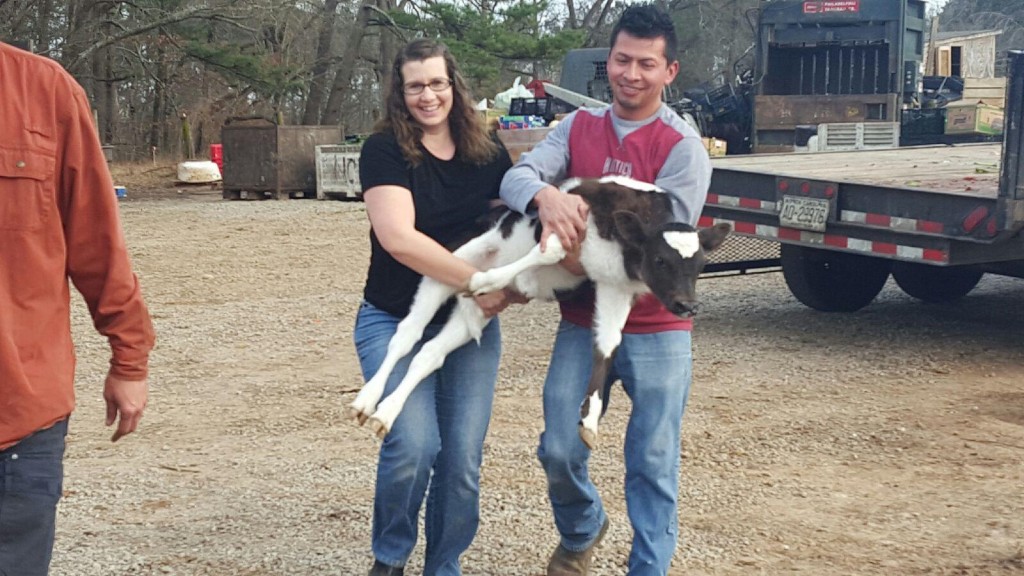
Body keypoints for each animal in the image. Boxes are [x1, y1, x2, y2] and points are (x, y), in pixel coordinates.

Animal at [350, 177, 729, 446]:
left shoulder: (615, 287)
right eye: (660, 259)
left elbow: (607, 345)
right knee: (405, 337)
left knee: (428, 355)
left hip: (471, 316)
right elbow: (548, 252)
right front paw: (487, 280)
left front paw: (590, 418)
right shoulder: (567, 221)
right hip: (445, 267)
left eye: (700, 265)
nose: (687, 305)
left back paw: (386, 413)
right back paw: (367, 399)